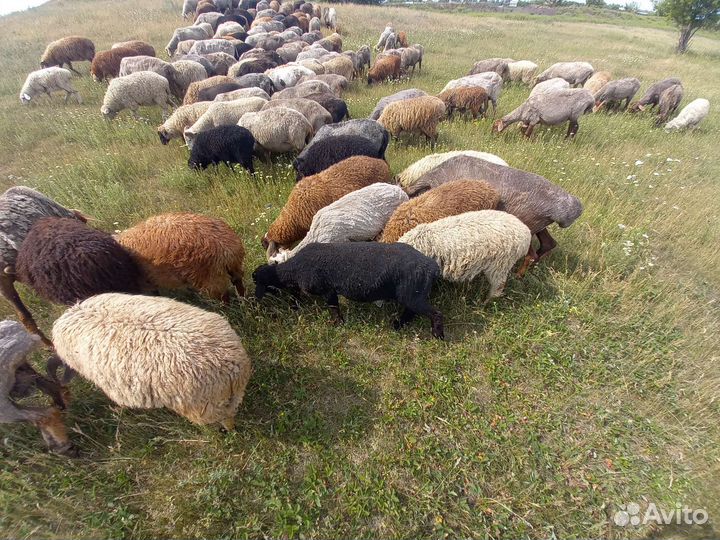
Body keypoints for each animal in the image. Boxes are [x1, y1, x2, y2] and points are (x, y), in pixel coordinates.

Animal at [51, 293, 251, 430]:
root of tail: (232, 366)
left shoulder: (112, 386)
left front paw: (119, 410)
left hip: (204, 406)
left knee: (223, 418)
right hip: (230, 397)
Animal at [117, 212, 247, 298]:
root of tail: (227, 248)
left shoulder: (146, 283)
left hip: (211, 276)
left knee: (224, 296)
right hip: (233, 268)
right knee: (238, 282)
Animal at [253, 242, 444, 338]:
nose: (255, 301)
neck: (295, 268)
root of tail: (432, 266)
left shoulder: (327, 289)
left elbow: (333, 308)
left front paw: (337, 324)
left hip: (412, 294)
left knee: (434, 313)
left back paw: (437, 335)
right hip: (412, 294)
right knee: (410, 312)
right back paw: (398, 325)